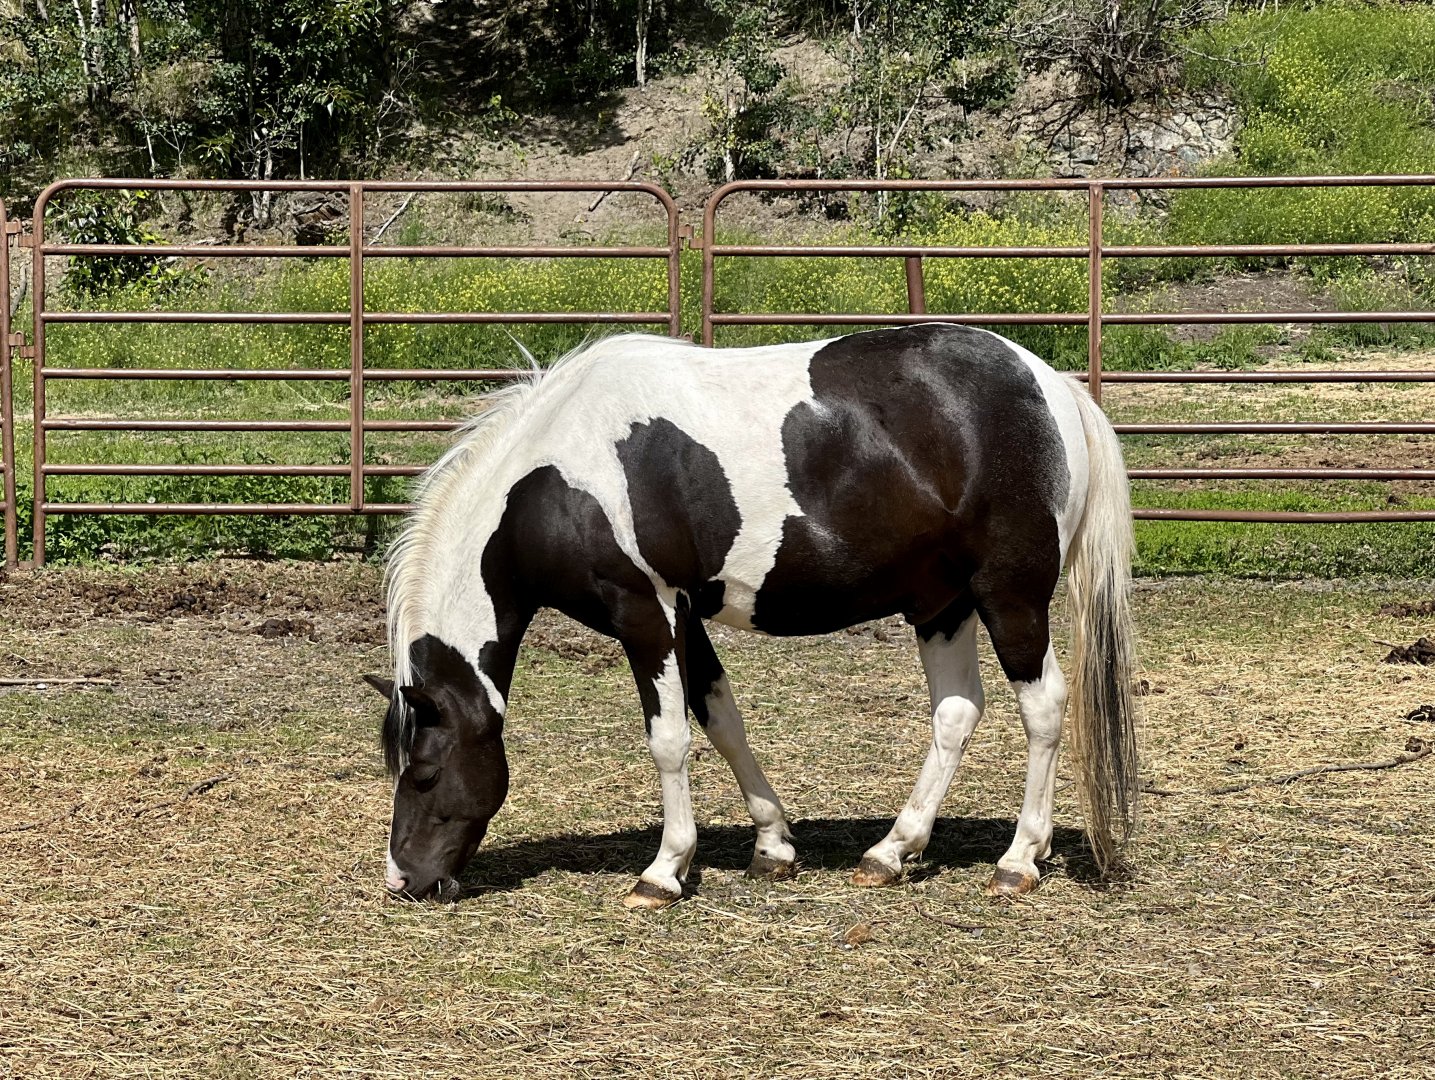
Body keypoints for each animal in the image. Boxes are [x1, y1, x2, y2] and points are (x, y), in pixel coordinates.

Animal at [364, 323, 1139, 907]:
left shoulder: (643, 613)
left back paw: (1019, 858)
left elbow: (669, 739)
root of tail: (1050, 385)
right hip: (941, 603)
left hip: (1008, 596)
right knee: (955, 712)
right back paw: (891, 850)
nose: (404, 879)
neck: (557, 481)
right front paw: (771, 844)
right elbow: (720, 716)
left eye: (424, 772)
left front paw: (663, 870)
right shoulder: (683, 616)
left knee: (1043, 707)